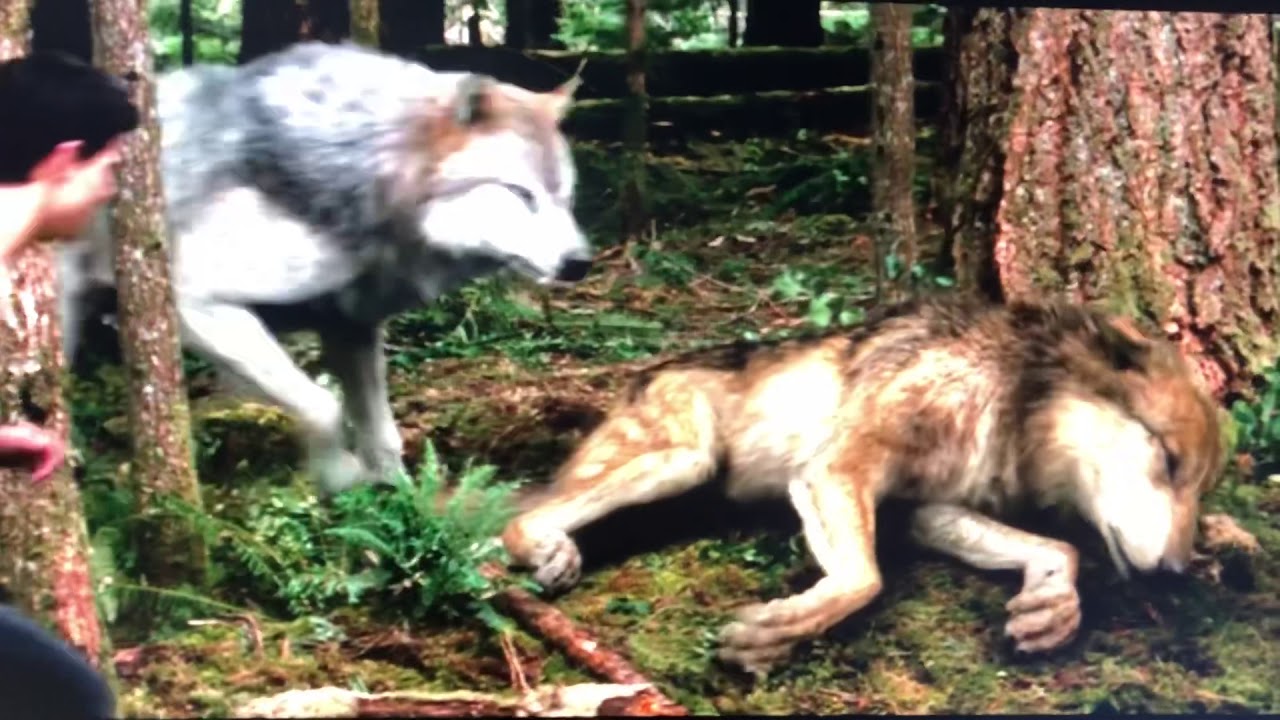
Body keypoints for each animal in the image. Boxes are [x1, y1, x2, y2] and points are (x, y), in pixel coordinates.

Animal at [56, 41, 593, 495]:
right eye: (522, 194)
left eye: (566, 197)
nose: (579, 263)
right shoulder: (196, 299)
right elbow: (324, 406)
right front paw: (341, 475)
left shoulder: (351, 326)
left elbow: (384, 435)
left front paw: (406, 507)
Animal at [500, 296, 1226, 676]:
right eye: (1168, 461)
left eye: (1200, 488)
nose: (1176, 574)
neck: (1014, 396)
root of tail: (639, 375)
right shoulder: (837, 467)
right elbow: (863, 580)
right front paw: (775, 633)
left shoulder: (927, 509)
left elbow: (1063, 550)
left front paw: (1053, 611)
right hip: (686, 458)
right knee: (517, 513)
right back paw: (543, 546)